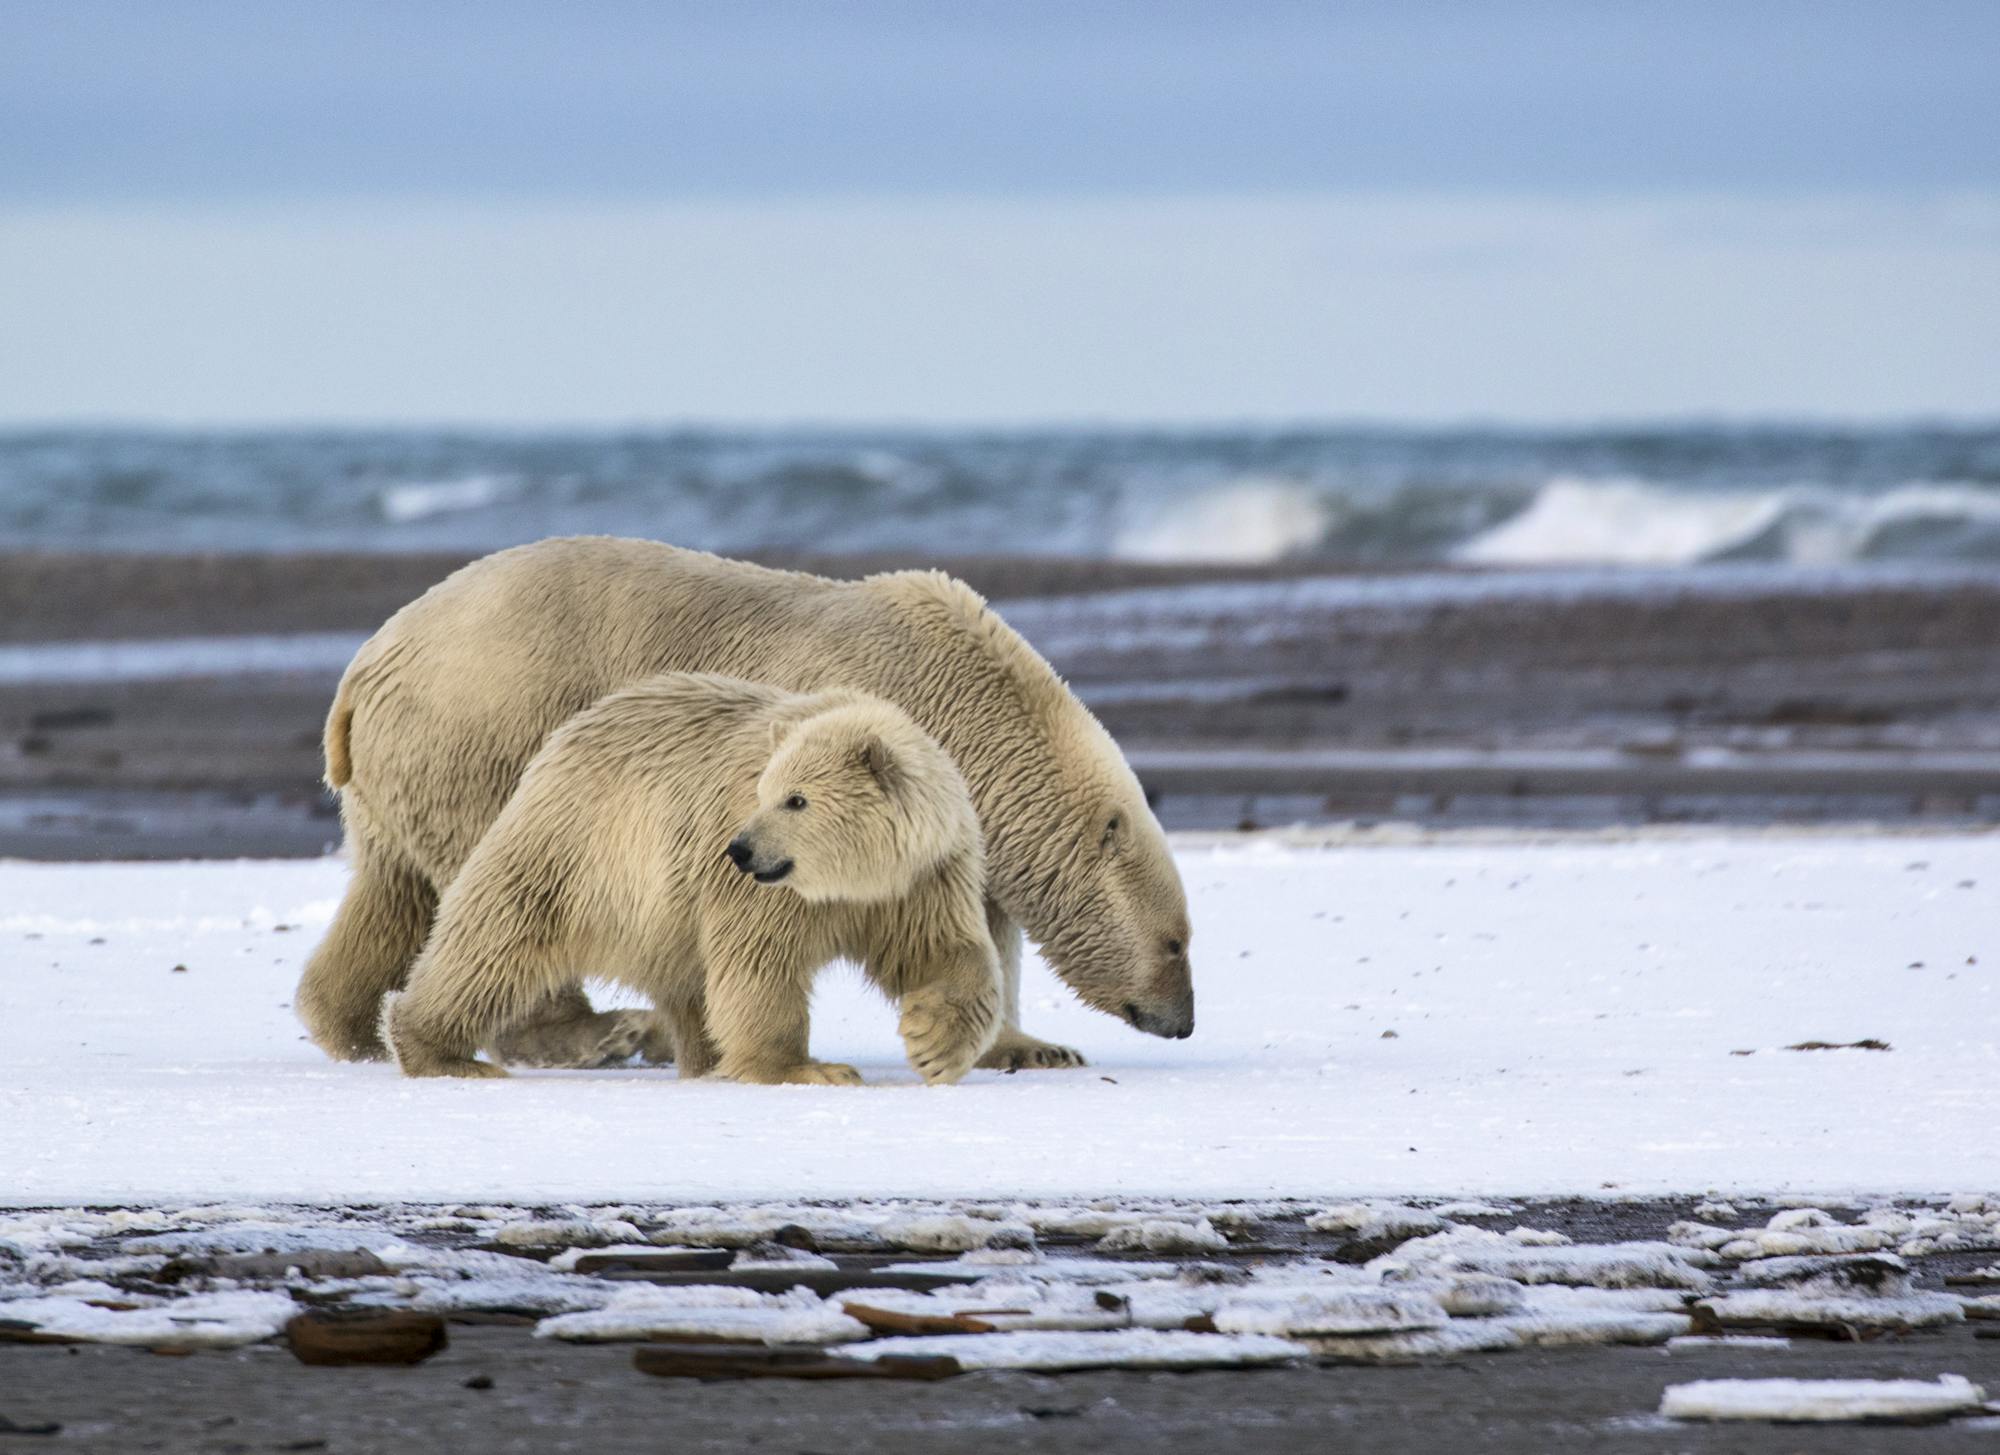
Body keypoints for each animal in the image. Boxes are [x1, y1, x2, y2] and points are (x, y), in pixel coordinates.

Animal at [379, 673, 1002, 1086]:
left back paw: (703, 1062)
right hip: (579, 853)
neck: (853, 879)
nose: (741, 849)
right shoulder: (764, 895)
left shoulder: (922, 879)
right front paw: (809, 1068)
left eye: (796, 800)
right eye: (763, 792)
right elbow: (758, 963)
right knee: (490, 948)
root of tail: (564, 736)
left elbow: (945, 951)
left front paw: (932, 1044)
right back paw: (440, 1053)